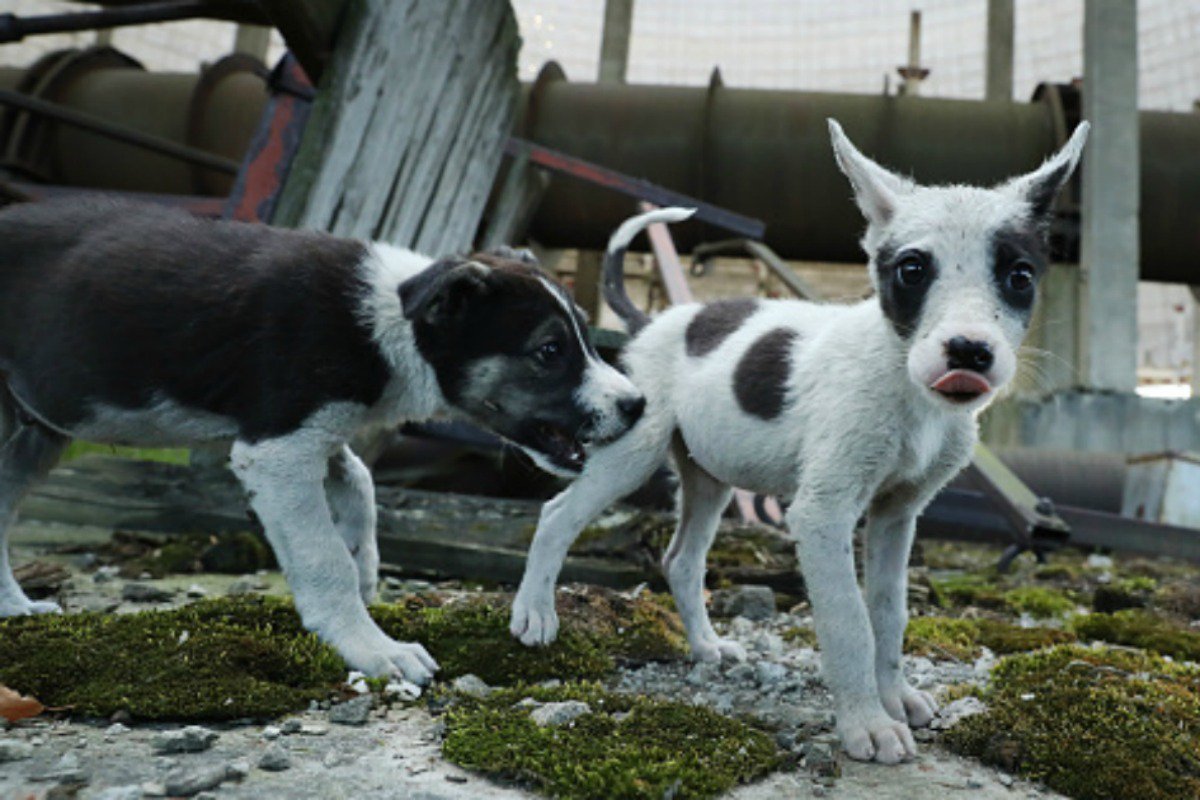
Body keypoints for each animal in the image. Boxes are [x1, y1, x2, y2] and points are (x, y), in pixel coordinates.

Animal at [2, 196, 648, 686]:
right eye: (549, 351)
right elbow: (321, 557)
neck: (392, 321)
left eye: (586, 339)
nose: (637, 405)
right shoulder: (277, 448)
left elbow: (359, 483)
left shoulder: (315, 431)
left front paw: (366, 569)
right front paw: (371, 646)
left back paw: (16, 608)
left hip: (32, 431)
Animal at [511, 118, 1094, 762]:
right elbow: (849, 623)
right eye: (912, 270)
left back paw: (706, 647)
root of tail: (654, 320)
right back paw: (535, 613)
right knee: (558, 514)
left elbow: (888, 614)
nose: (968, 351)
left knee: (682, 560)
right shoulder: (822, 513)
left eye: (1019, 276)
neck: (906, 389)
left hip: (709, 476)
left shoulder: (898, 515)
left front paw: (895, 697)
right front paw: (867, 723)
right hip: (632, 452)